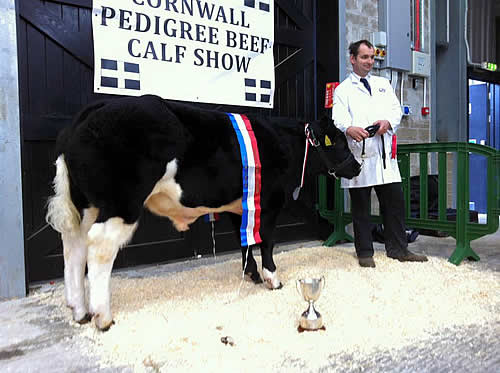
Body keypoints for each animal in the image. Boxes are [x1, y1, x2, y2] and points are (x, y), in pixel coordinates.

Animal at [47, 93, 360, 328]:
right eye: (339, 142)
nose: (357, 167)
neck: (284, 142)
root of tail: (95, 108)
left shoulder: (240, 205)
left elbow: (244, 241)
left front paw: (251, 273)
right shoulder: (270, 201)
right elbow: (266, 240)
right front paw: (272, 278)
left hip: (86, 204)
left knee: (74, 245)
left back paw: (78, 309)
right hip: (121, 203)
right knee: (99, 247)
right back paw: (102, 316)